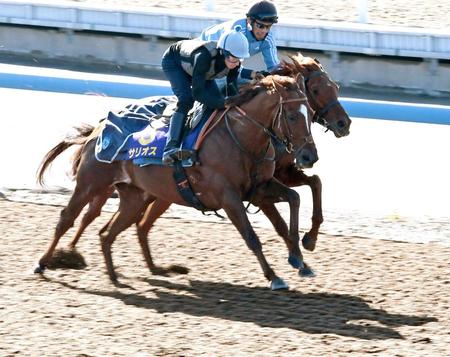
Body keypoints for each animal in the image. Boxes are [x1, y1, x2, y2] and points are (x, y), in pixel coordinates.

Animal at [36, 73, 316, 288]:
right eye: (292, 116)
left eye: (310, 114)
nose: (309, 155)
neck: (240, 137)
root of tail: (97, 131)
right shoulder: (229, 197)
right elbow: (251, 236)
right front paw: (274, 276)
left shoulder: (257, 189)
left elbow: (295, 198)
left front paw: (299, 256)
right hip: (90, 184)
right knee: (69, 218)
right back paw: (43, 263)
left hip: (135, 196)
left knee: (111, 231)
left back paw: (119, 276)